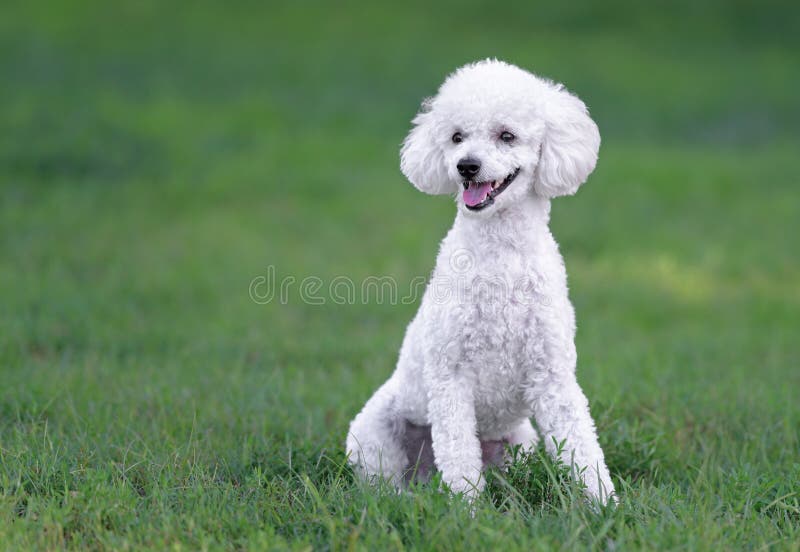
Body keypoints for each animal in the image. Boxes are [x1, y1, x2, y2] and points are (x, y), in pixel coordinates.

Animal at [346, 59, 616, 504]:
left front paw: (603, 504)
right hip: (373, 436)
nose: (466, 165)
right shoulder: (450, 377)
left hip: (521, 442)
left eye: (506, 135)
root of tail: (422, 474)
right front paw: (465, 510)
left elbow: (581, 444)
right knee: (384, 481)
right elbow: (458, 456)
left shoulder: (553, 375)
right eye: (457, 137)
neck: (501, 255)